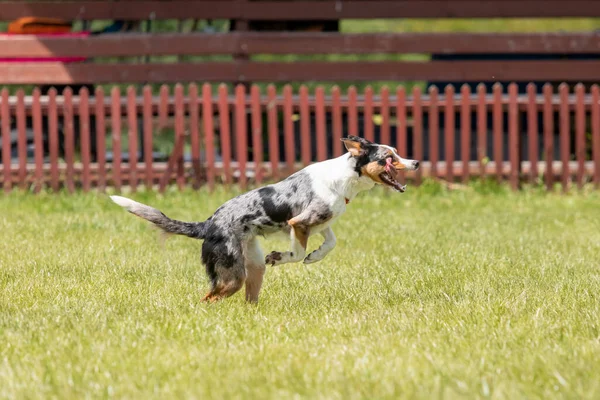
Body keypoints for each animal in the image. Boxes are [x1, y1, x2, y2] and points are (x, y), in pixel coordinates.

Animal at [110, 135, 420, 304]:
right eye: (389, 156)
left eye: (397, 153)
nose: (416, 162)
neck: (345, 178)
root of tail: (209, 223)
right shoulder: (300, 223)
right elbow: (296, 253)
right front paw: (283, 257)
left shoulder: (321, 223)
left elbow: (330, 244)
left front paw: (315, 257)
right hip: (233, 275)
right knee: (208, 298)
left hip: (252, 269)